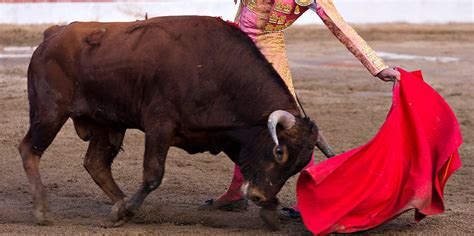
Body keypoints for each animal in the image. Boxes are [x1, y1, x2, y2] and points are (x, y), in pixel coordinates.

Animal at [20, 16, 328, 230]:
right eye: (279, 151)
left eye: (300, 165)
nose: (259, 197)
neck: (217, 70)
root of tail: (53, 34)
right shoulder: (159, 125)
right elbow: (153, 174)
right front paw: (128, 209)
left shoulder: (230, 135)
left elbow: (245, 164)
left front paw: (272, 210)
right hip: (49, 112)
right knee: (30, 150)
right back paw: (43, 210)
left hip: (107, 123)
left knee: (96, 163)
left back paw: (120, 204)